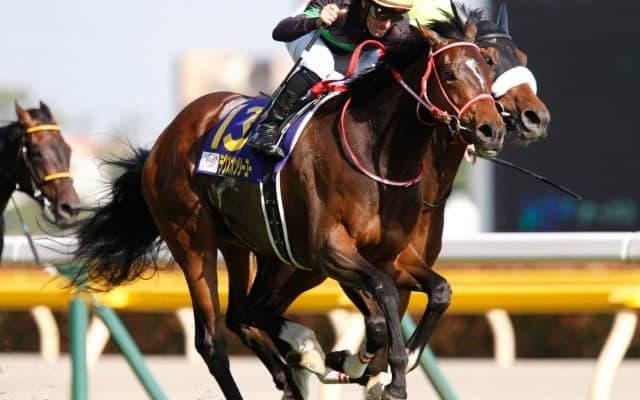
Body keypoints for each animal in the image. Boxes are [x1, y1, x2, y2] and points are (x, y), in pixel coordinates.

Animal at [72, 10, 504, 400]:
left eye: (487, 69)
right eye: (449, 74)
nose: (492, 129)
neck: (376, 154)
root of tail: (166, 138)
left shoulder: (389, 254)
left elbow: (436, 292)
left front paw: (379, 363)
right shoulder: (331, 250)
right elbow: (380, 305)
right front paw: (379, 372)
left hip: (253, 248)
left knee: (244, 313)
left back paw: (300, 365)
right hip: (193, 241)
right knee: (212, 339)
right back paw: (302, 356)